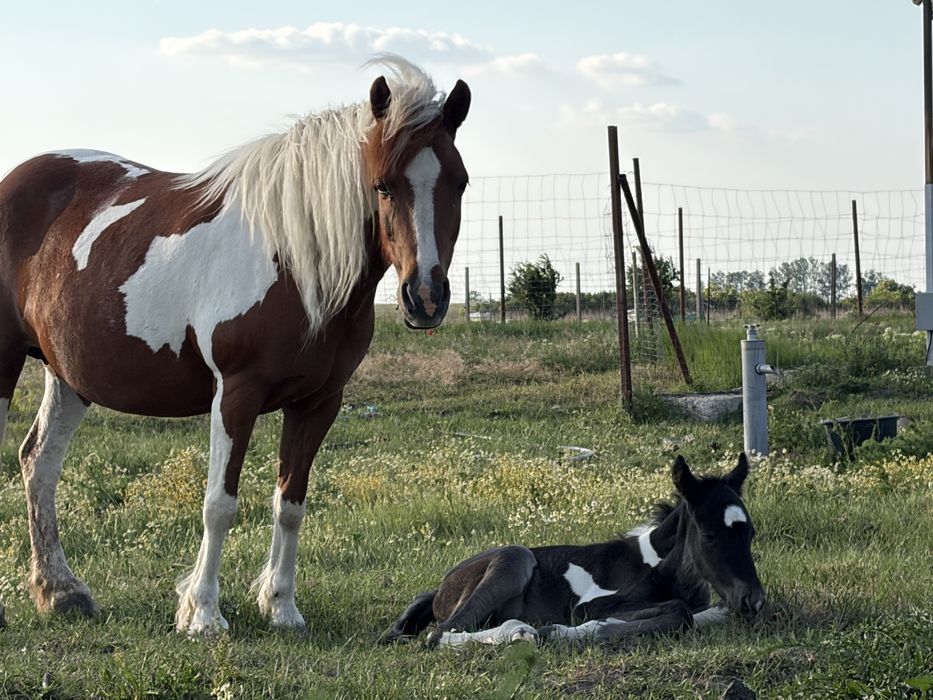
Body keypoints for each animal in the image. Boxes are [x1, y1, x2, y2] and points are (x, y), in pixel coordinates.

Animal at [0, 56, 471, 634]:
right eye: (381, 186)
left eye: (459, 183)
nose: (425, 296)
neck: (294, 258)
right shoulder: (235, 394)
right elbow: (219, 504)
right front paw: (203, 613)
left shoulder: (319, 402)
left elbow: (290, 503)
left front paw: (281, 606)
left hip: (68, 377)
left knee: (39, 464)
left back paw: (62, 592)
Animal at [379, 454, 765, 647]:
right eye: (709, 534)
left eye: (751, 533)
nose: (754, 600)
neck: (666, 567)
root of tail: (441, 588)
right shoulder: (593, 604)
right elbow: (679, 612)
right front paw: (566, 631)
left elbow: (704, 612)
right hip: (514, 557)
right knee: (439, 633)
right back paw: (519, 632)